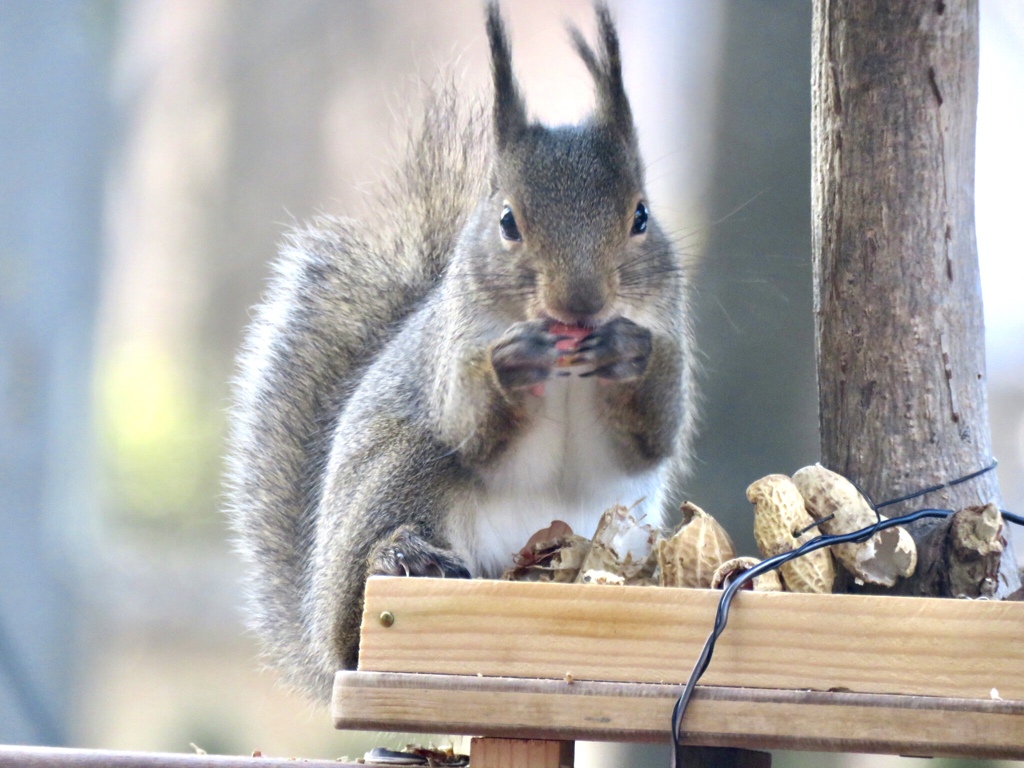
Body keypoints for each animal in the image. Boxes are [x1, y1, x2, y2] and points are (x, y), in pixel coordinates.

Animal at [226, 1, 696, 704]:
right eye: (507, 222)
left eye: (641, 216)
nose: (579, 304)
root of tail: (320, 644)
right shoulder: (454, 348)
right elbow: (471, 427)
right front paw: (512, 363)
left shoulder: (669, 329)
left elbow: (651, 434)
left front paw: (626, 353)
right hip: (400, 476)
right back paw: (400, 557)